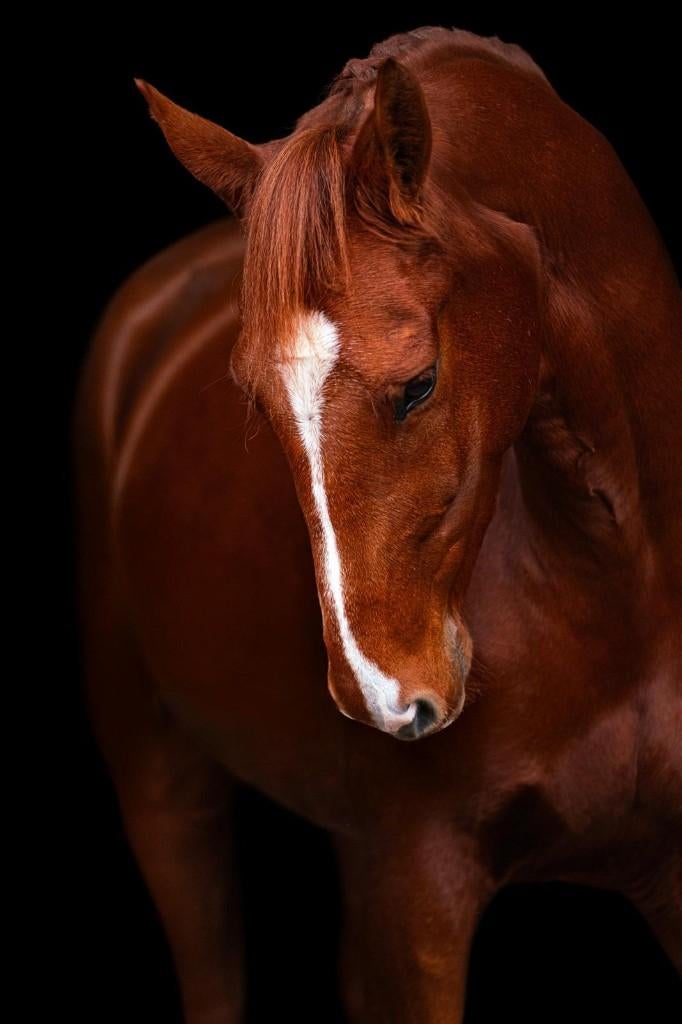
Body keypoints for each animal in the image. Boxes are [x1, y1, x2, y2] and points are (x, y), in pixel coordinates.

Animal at [72, 24, 681, 1023]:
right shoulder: (419, 891)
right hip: (164, 791)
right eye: (257, 402)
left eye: (420, 383)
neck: (615, 584)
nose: (381, 696)